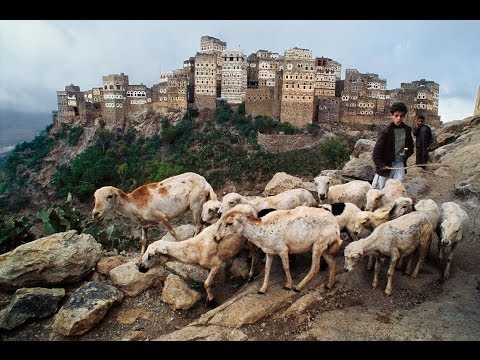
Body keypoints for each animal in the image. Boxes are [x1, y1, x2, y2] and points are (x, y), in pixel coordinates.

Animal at [214, 207, 342, 294]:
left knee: (315, 267)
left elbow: (286, 267)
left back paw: (298, 287)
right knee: (332, 263)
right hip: (324, 247)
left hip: (318, 246)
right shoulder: (269, 253)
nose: (216, 238)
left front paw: (288, 285)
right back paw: (329, 285)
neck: (262, 230)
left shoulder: (283, 250)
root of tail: (336, 227)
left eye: (229, 223)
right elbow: (267, 269)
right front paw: (262, 289)